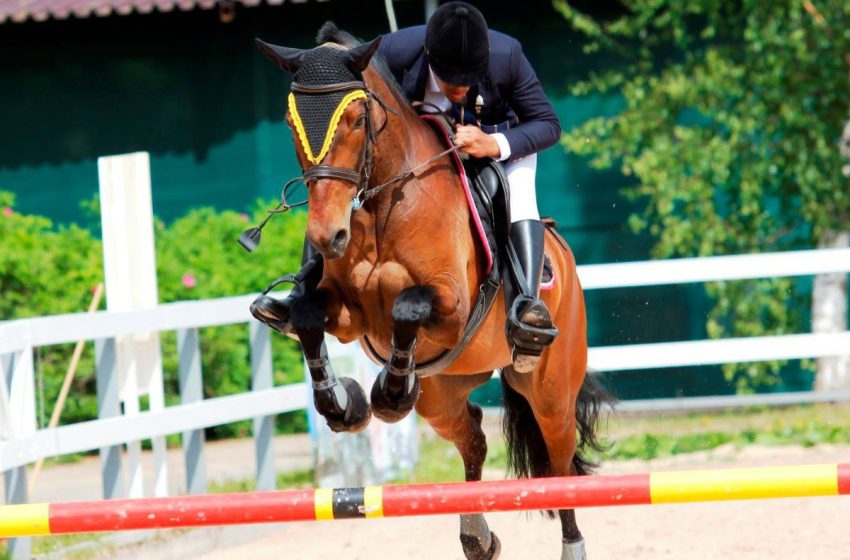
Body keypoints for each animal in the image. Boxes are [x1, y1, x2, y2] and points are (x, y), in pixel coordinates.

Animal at [252, 24, 608, 560]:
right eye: (292, 124)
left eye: (357, 119)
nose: (327, 237)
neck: (381, 204)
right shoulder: (348, 315)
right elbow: (310, 317)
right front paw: (344, 403)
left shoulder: (454, 307)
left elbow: (408, 305)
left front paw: (390, 393)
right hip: (443, 393)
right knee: (474, 435)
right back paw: (476, 535)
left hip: (550, 391)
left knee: (559, 461)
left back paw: (572, 545)